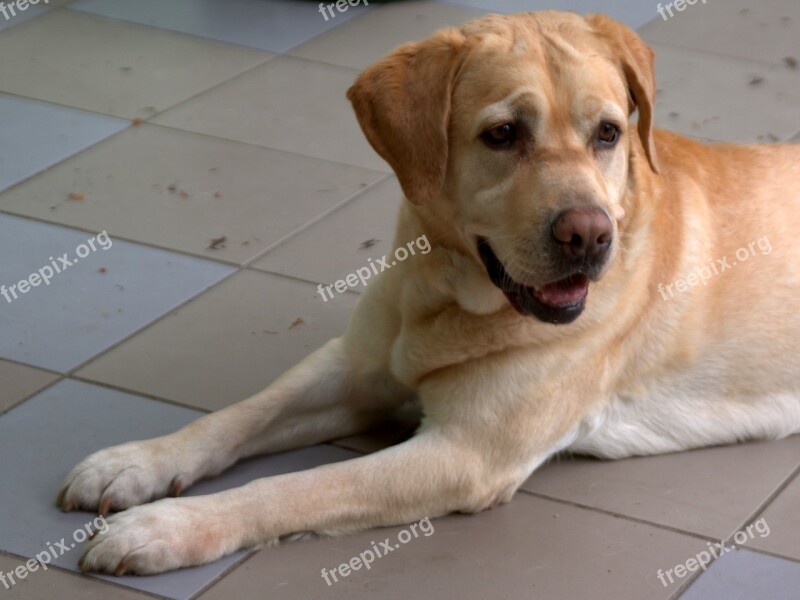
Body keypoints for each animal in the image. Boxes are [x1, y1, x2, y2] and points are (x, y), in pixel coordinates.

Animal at [59, 9, 800, 572]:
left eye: (609, 133)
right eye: (503, 134)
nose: (590, 236)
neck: (443, 296)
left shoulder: (464, 454)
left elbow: (299, 487)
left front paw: (168, 527)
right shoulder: (354, 366)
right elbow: (240, 415)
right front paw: (137, 462)